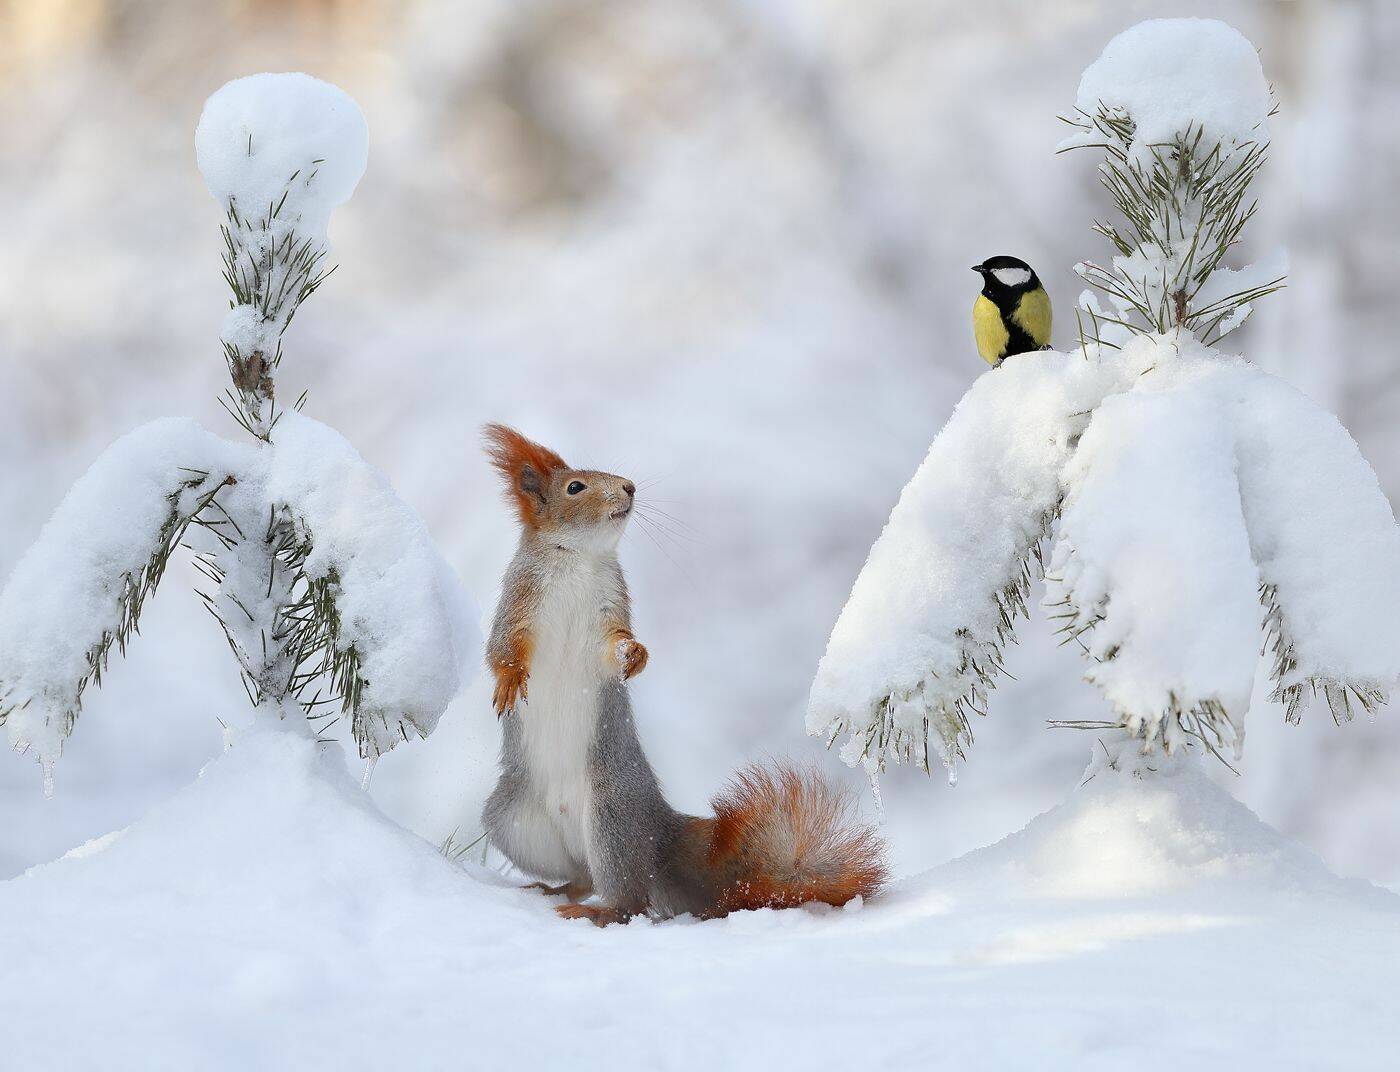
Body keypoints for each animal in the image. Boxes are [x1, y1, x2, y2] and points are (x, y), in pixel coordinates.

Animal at [476, 425, 879, 929]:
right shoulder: (519, 601)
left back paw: (592, 910)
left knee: (629, 899)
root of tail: (659, 834)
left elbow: (614, 644)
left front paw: (635, 654)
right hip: (514, 820)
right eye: (575, 487)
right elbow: (502, 648)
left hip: (610, 815)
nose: (629, 487)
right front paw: (509, 680)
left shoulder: (611, 606)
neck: (579, 561)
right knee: (584, 875)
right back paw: (556, 889)